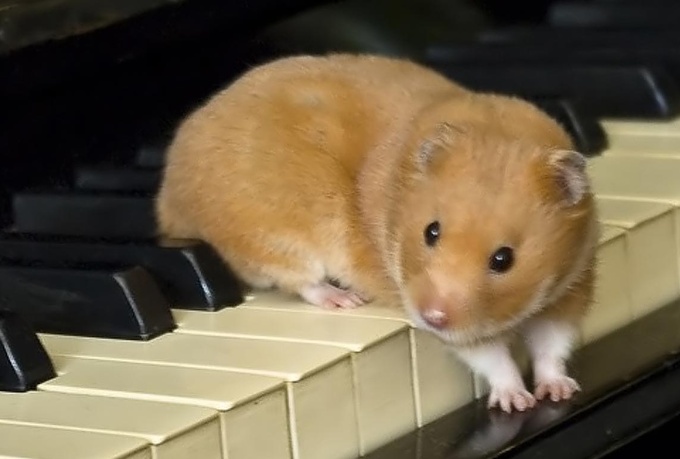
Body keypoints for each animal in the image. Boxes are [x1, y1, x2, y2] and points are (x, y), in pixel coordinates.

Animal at [155, 53, 598, 413]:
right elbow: (492, 356)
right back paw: (345, 299)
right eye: (431, 232)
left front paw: (558, 392)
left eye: (504, 259)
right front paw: (516, 402)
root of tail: (168, 196)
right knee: (300, 280)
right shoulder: (452, 323)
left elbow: (551, 345)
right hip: (278, 234)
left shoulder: (571, 286)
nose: (432, 317)